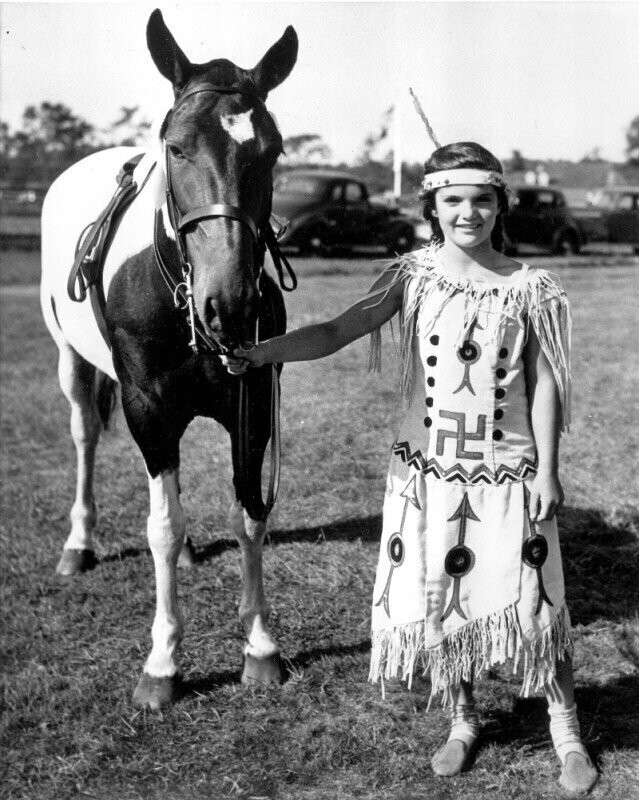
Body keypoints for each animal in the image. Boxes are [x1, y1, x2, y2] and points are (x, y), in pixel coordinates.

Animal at [40, 6, 300, 708]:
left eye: (272, 150)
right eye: (177, 147)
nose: (229, 305)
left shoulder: (251, 406)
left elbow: (249, 515)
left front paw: (260, 646)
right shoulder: (147, 405)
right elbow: (159, 525)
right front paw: (162, 663)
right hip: (74, 366)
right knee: (84, 436)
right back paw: (79, 543)